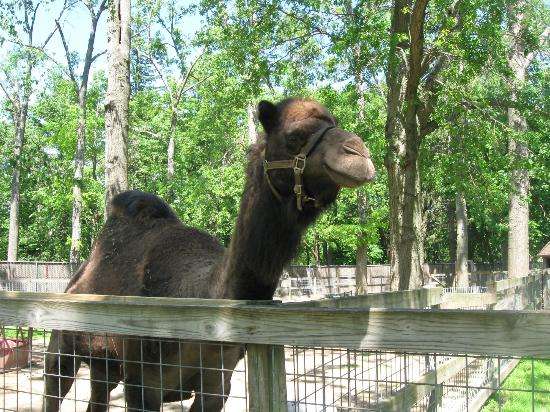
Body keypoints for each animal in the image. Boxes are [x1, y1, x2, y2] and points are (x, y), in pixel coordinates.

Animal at [45, 98, 378, 410]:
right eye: (294, 135)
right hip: (61, 348)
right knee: (54, 386)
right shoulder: (142, 385)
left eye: (334, 122)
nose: (359, 154)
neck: (200, 294)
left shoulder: (218, 385)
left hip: (104, 366)